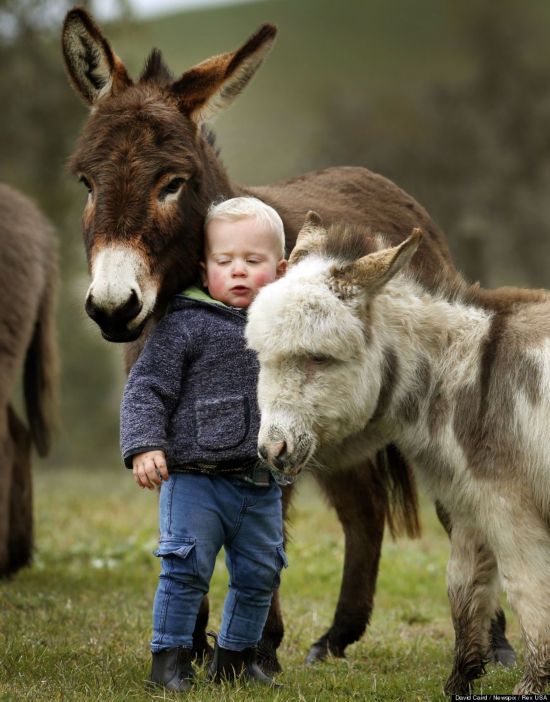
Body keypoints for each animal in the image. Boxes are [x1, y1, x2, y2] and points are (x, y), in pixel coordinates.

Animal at [248, 216, 550, 700]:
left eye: (318, 358)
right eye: (261, 357)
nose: (271, 451)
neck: (461, 373)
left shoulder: (508, 508)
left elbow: (529, 592)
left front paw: (530, 686)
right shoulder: (468, 506)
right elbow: (463, 591)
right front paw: (460, 679)